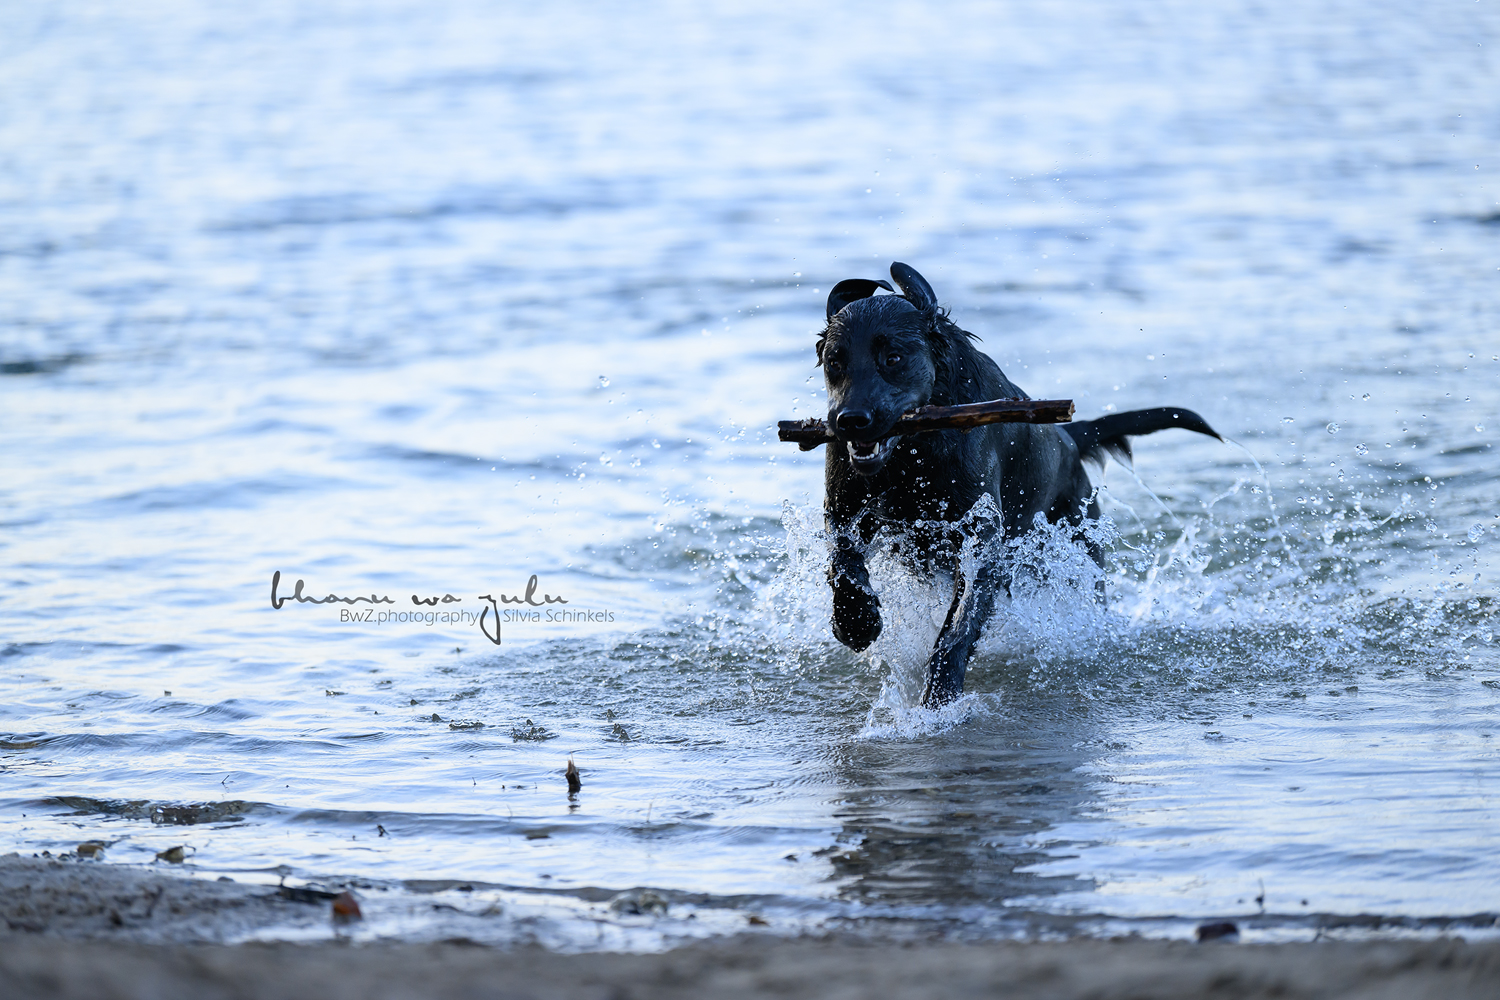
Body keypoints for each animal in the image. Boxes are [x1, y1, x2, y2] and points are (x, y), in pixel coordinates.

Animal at [822, 262, 1218, 707]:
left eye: (893, 358)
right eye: (834, 362)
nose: (850, 420)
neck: (913, 455)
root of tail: (1069, 437)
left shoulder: (981, 536)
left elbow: (958, 625)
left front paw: (941, 690)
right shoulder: (843, 506)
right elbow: (843, 559)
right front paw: (855, 620)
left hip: (1076, 552)